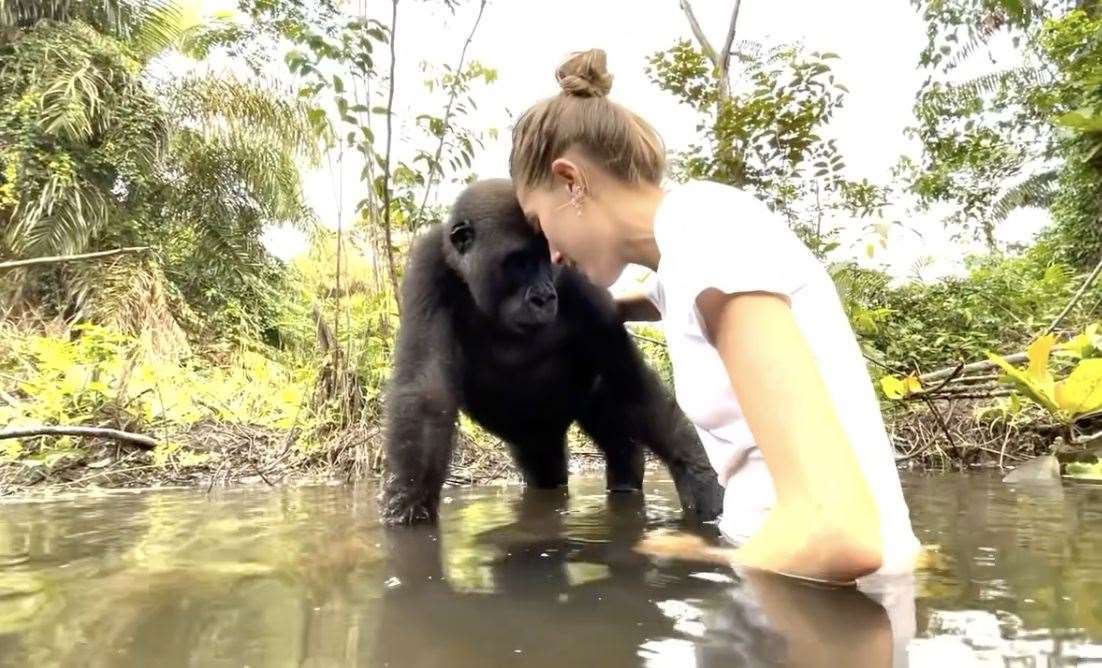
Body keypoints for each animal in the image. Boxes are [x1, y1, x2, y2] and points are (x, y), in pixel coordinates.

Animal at [379, 180, 722, 526]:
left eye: (549, 259)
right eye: (519, 261)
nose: (544, 297)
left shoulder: (581, 283)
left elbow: (631, 382)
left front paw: (700, 476)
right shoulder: (429, 266)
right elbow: (427, 394)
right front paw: (408, 508)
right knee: (545, 469)